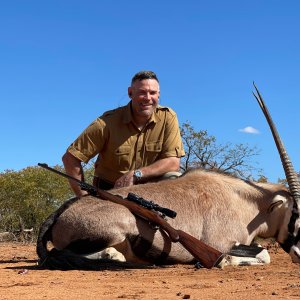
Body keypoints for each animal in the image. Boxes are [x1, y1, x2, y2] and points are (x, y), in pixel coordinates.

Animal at [37, 86, 300, 270]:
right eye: (294, 216)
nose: (299, 254)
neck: (243, 202)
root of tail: (58, 213)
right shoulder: (222, 244)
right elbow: (263, 253)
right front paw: (224, 261)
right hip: (117, 228)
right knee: (91, 253)